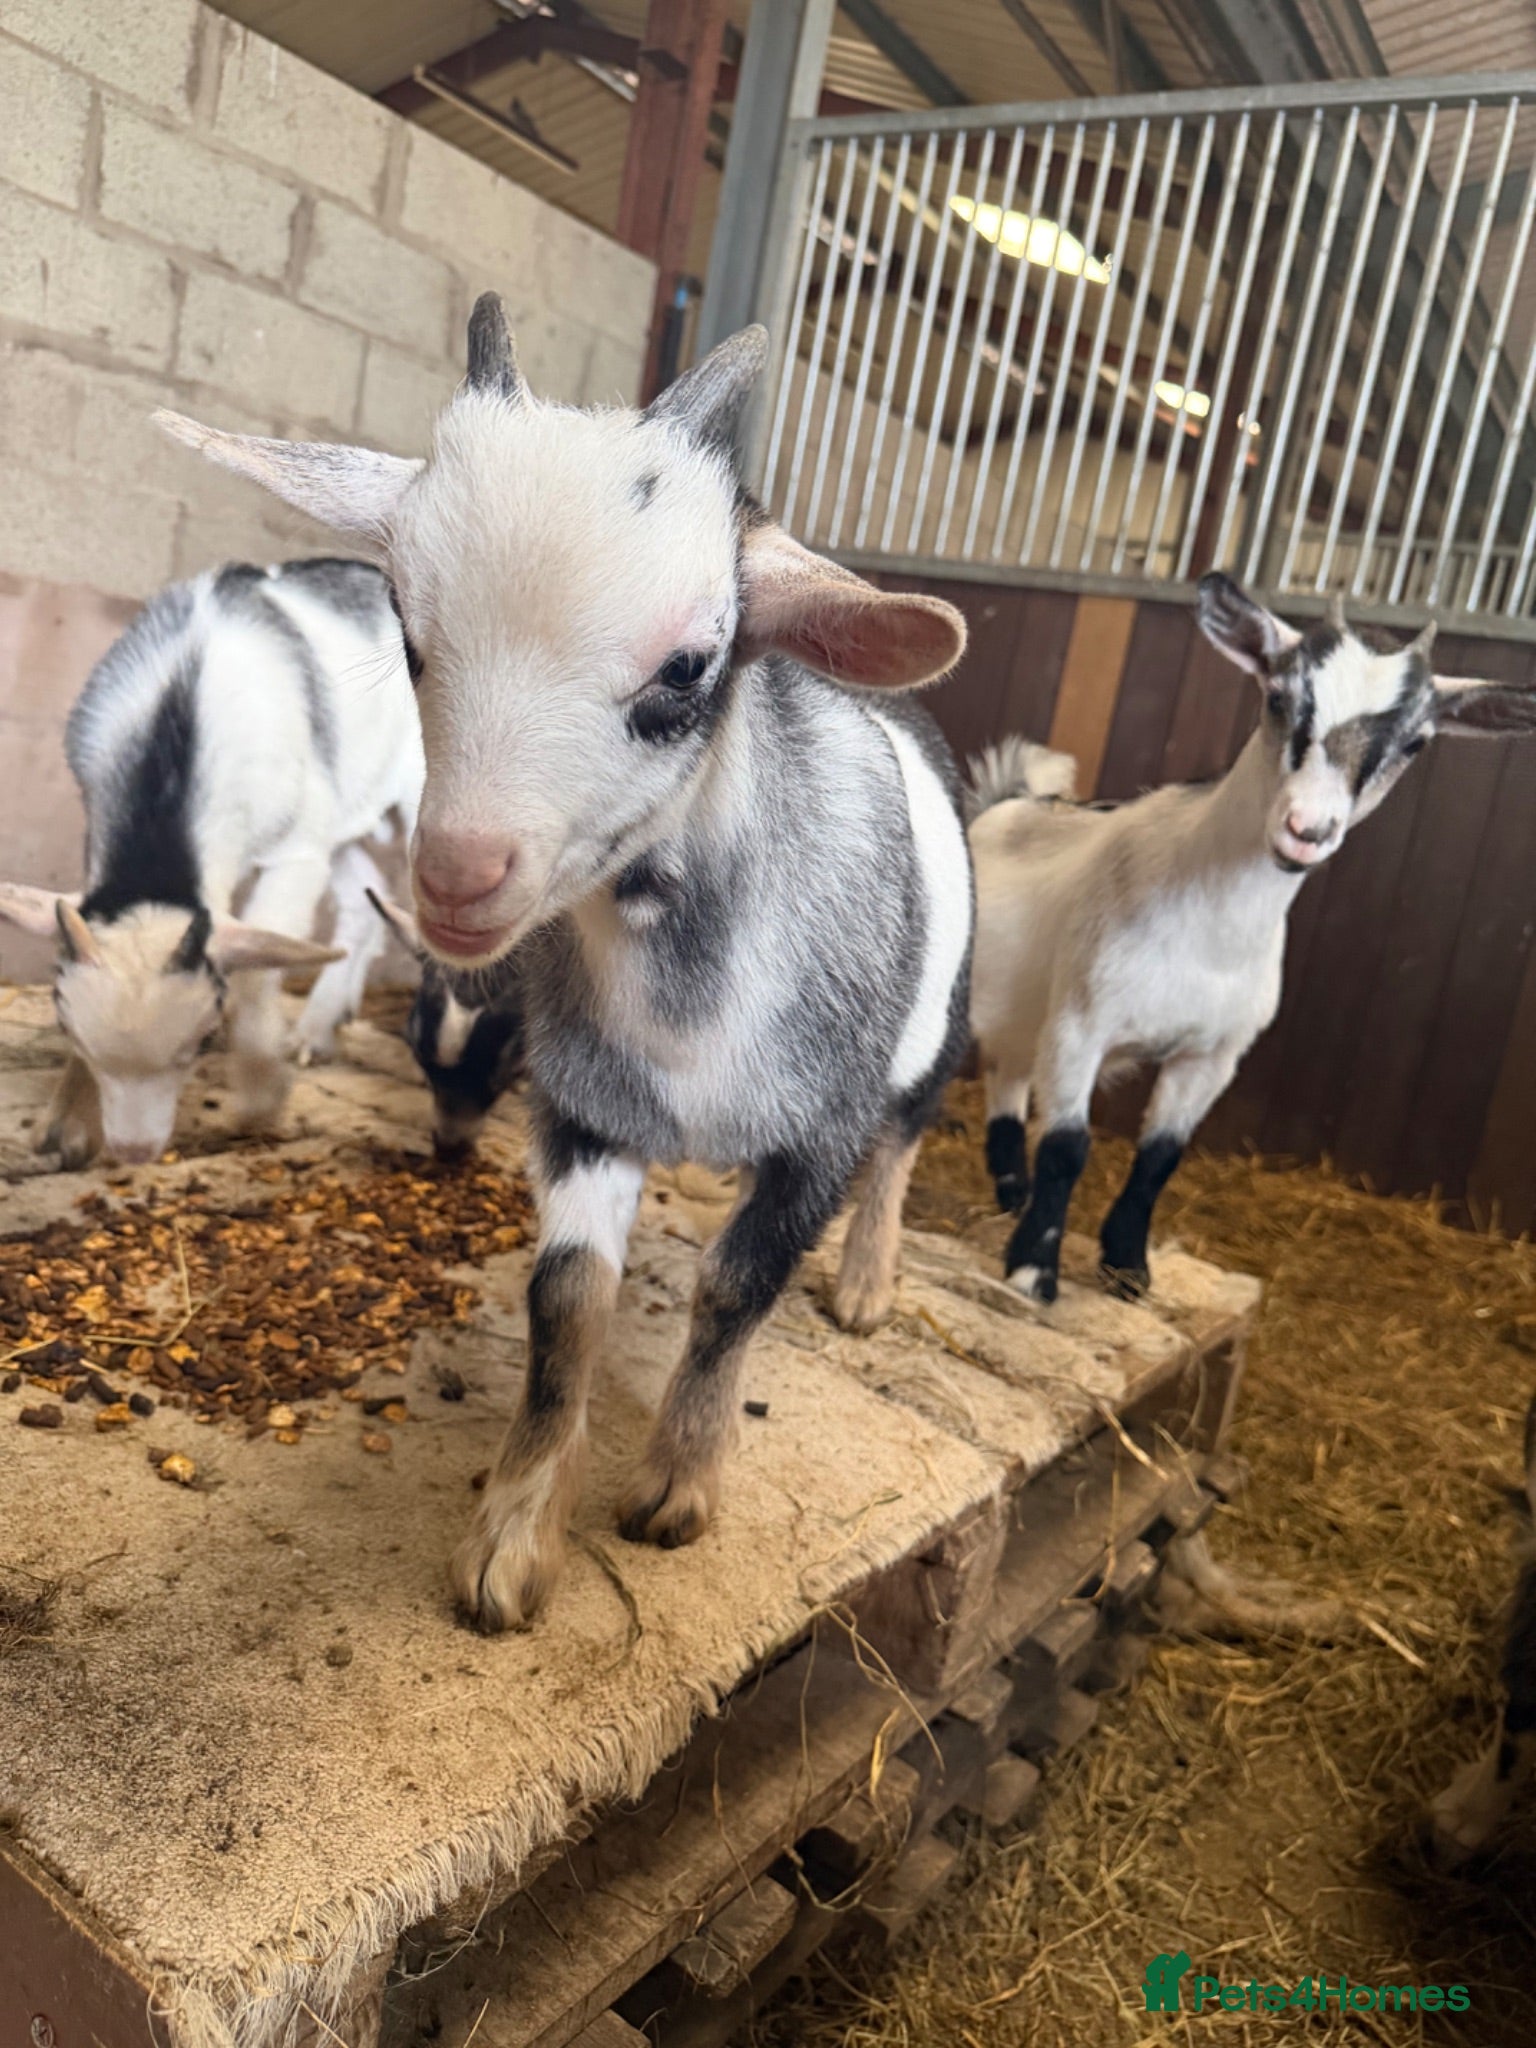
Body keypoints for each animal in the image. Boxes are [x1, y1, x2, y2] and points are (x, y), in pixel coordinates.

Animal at [0, 559, 423, 1166]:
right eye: (67, 1029)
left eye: (205, 1039)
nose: (134, 1151)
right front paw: (65, 1126)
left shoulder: (297, 849)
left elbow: (258, 967)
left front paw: (263, 1094)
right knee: (365, 900)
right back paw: (316, 1032)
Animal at [969, 572, 1536, 1304]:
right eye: (1278, 697)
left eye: (1416, 744)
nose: (1307, 830)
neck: (1207, 934)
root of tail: (1005, 804)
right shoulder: (1079, 1024)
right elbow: (1068, 1148)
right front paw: (1034, 1270)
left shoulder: (1214, 1054)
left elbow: (1159, 1158)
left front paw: (1128, 1268)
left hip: (1021, 1013)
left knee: (1005, 1077)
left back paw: (1011, 1189)